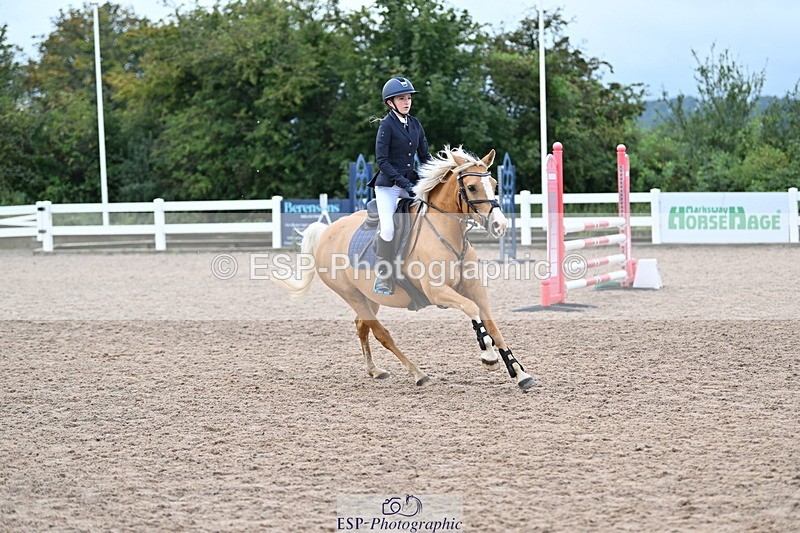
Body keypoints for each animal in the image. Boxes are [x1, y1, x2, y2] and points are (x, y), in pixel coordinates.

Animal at [273, 146, 536, 391]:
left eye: (494, 184)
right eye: (471, 187)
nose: (500, 225)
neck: (447, 234)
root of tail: (327, 231)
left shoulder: (475, 289)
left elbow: (492, 326)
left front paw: (520, 374)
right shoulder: (437, 291)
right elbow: (471, 310)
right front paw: (488, 356)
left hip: (371, 298)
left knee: (361, 326)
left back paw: (375, 370)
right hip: (352, 295)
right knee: (381, 334)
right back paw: (418, 374)